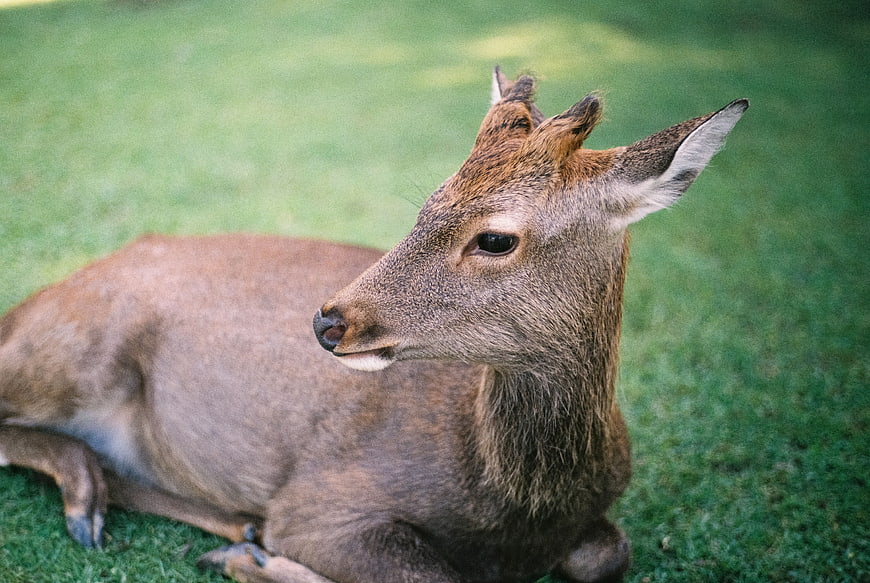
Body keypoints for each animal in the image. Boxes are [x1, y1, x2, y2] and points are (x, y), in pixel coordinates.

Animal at [0, 68, 747, 582]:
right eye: (427, 203)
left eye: (495, 238)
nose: (328, 320)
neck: (514, 509)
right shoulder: (322, 501)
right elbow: (431, 574)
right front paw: (257, 562)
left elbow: (609, 553)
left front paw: (246, 552)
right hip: (74, 350)